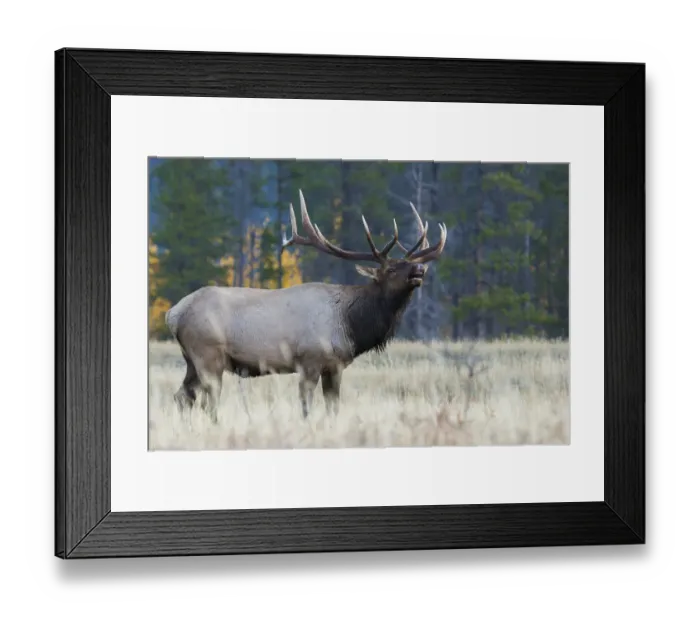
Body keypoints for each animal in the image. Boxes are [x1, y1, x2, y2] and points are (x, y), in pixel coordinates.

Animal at [165, 189, 447, 421]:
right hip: (207, 354)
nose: (419, 270)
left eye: (410, 264)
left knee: (182, 397)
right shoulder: (309, 360)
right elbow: (306, 407)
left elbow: (333, 408)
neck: (351, 326)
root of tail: (173, 314)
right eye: (390, 269)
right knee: (207, 403)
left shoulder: (335, 366)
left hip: (191, 360)